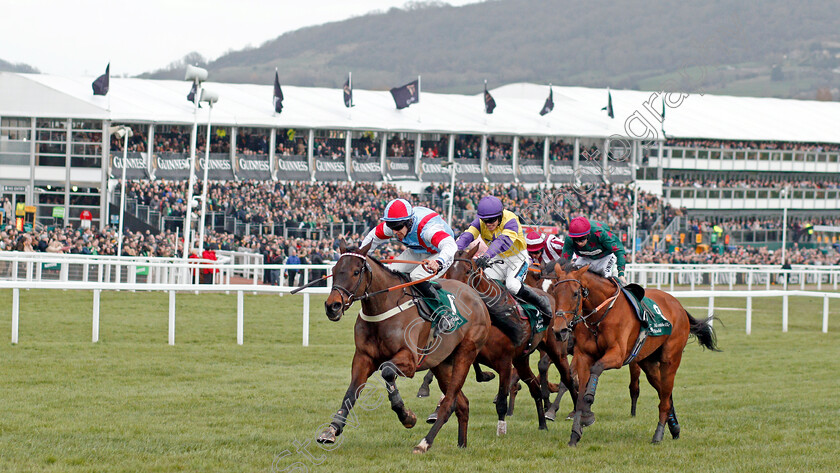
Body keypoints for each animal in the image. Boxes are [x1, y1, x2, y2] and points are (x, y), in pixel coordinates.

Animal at [320, 242, 492, 452]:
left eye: (355, 272)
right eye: (334, 271)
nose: (332, 306)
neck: (382, 310)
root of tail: (475, 296)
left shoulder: (410, 359)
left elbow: (386, 371)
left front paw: (406, 416)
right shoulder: (363, 357)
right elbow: (351, 392)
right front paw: (332, 429)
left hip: (465, 354)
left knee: (449, 402)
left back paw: (424, 443)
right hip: (442, 364)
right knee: (462, 403)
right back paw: (462, 444)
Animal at [548, 260, 720, 444]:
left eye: (575, 294)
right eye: (554, 292)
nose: (559, 330)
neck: (600, 317)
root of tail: (678, 306)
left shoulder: (617, 355)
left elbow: (595, 370)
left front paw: (587, 409)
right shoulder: (583, 356)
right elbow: (578, 392)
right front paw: (575, 433)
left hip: (670, 360)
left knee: (665, 399)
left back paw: (658, 434)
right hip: (648, 362)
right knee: (665, 394)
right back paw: (674, 428)